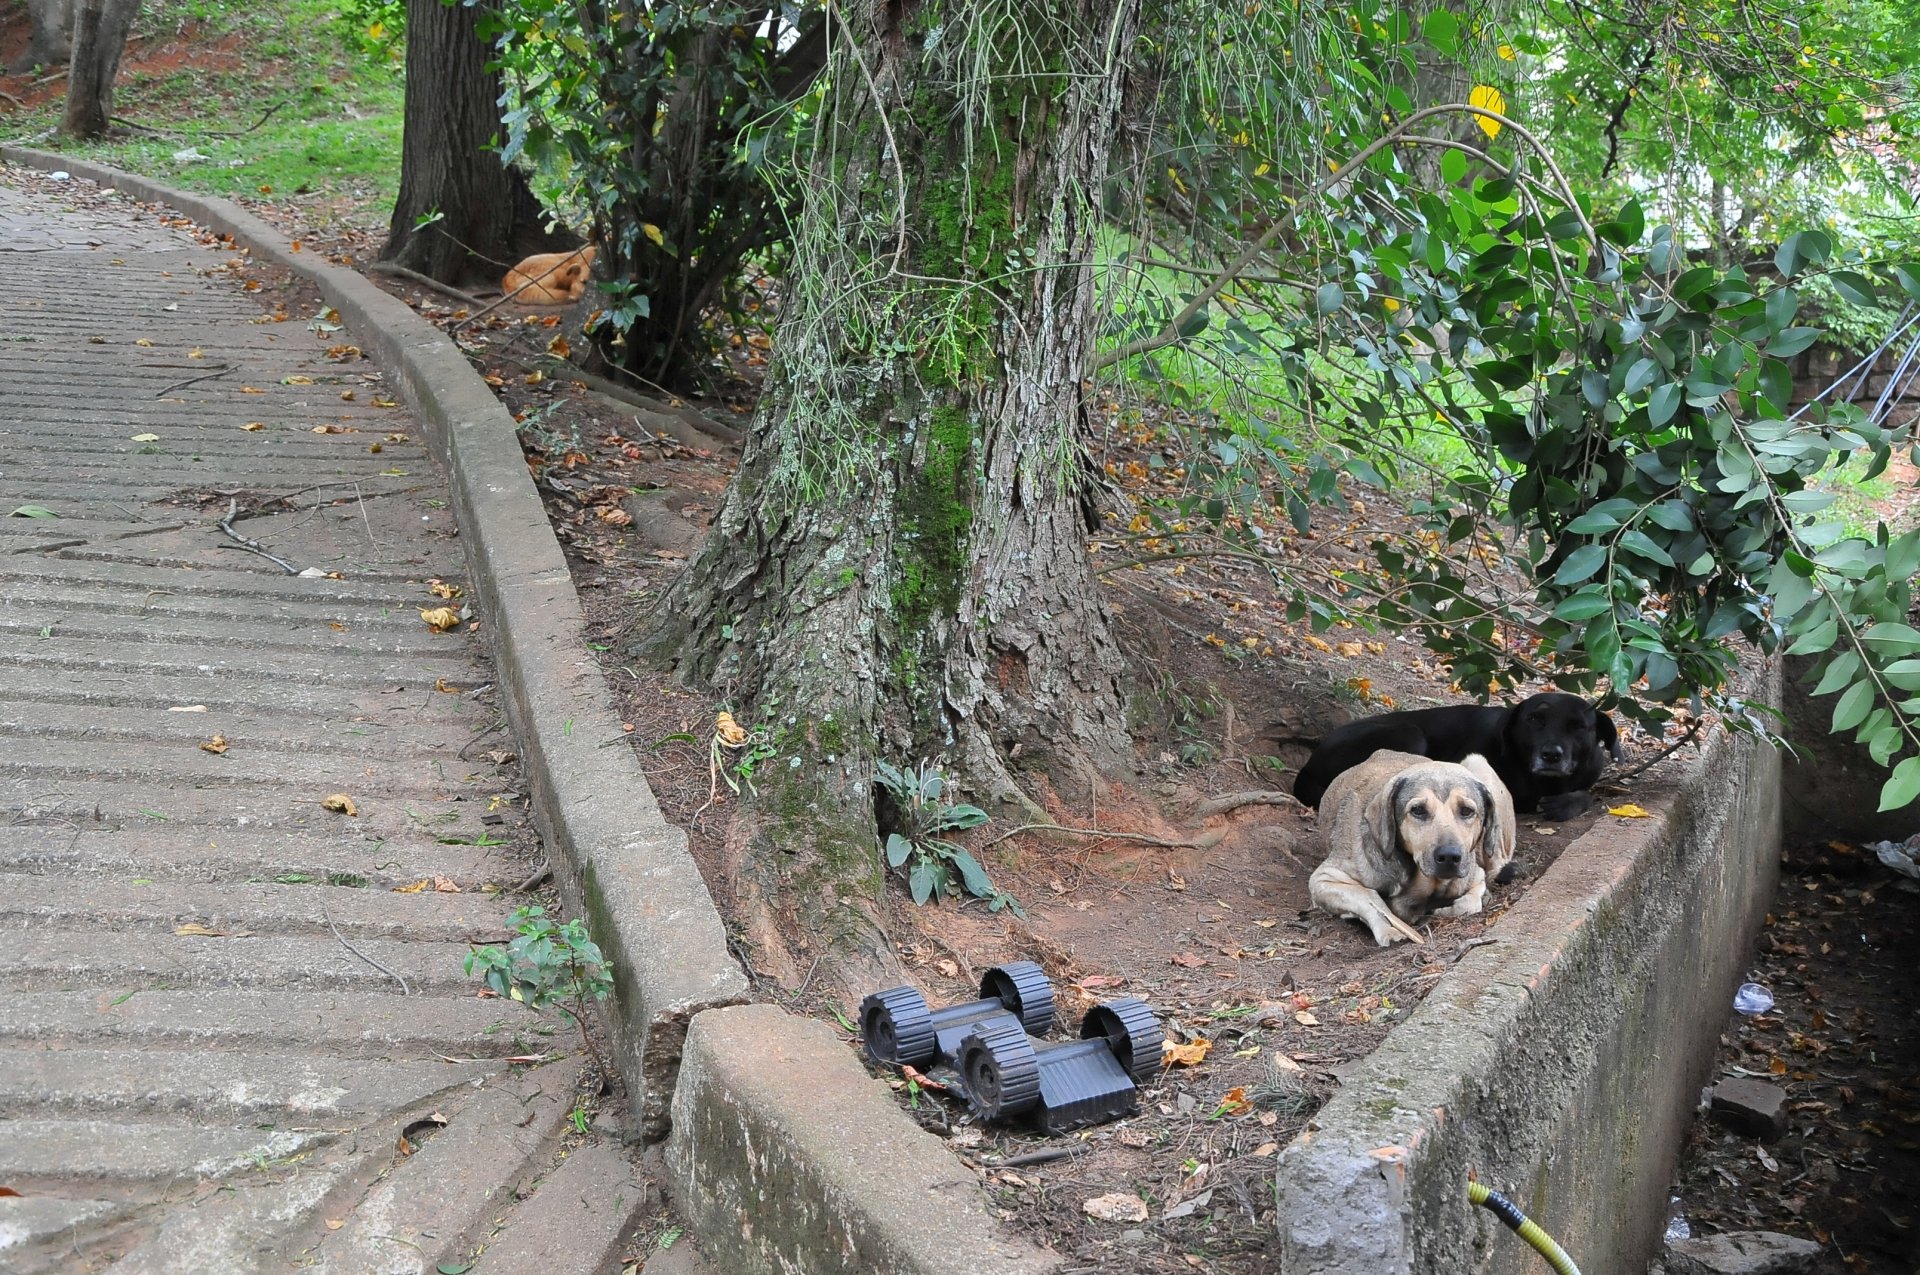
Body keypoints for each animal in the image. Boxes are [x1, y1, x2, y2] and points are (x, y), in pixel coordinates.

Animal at [1290, 691, 1620, 821]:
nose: (1551, 754)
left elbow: (1587, 794)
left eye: (1578, 726)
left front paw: (1566, 803)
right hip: (1410, 733)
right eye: (1535, 720)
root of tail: (1308, 766)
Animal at [1305, 748, 1512, 944]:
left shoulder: (1475, 876)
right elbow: (1370, 898)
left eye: (1467, 811)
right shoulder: (1324, 879)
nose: (1449, 856)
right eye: (1418, 810)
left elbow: (1469, 904)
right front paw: (1389, 929)